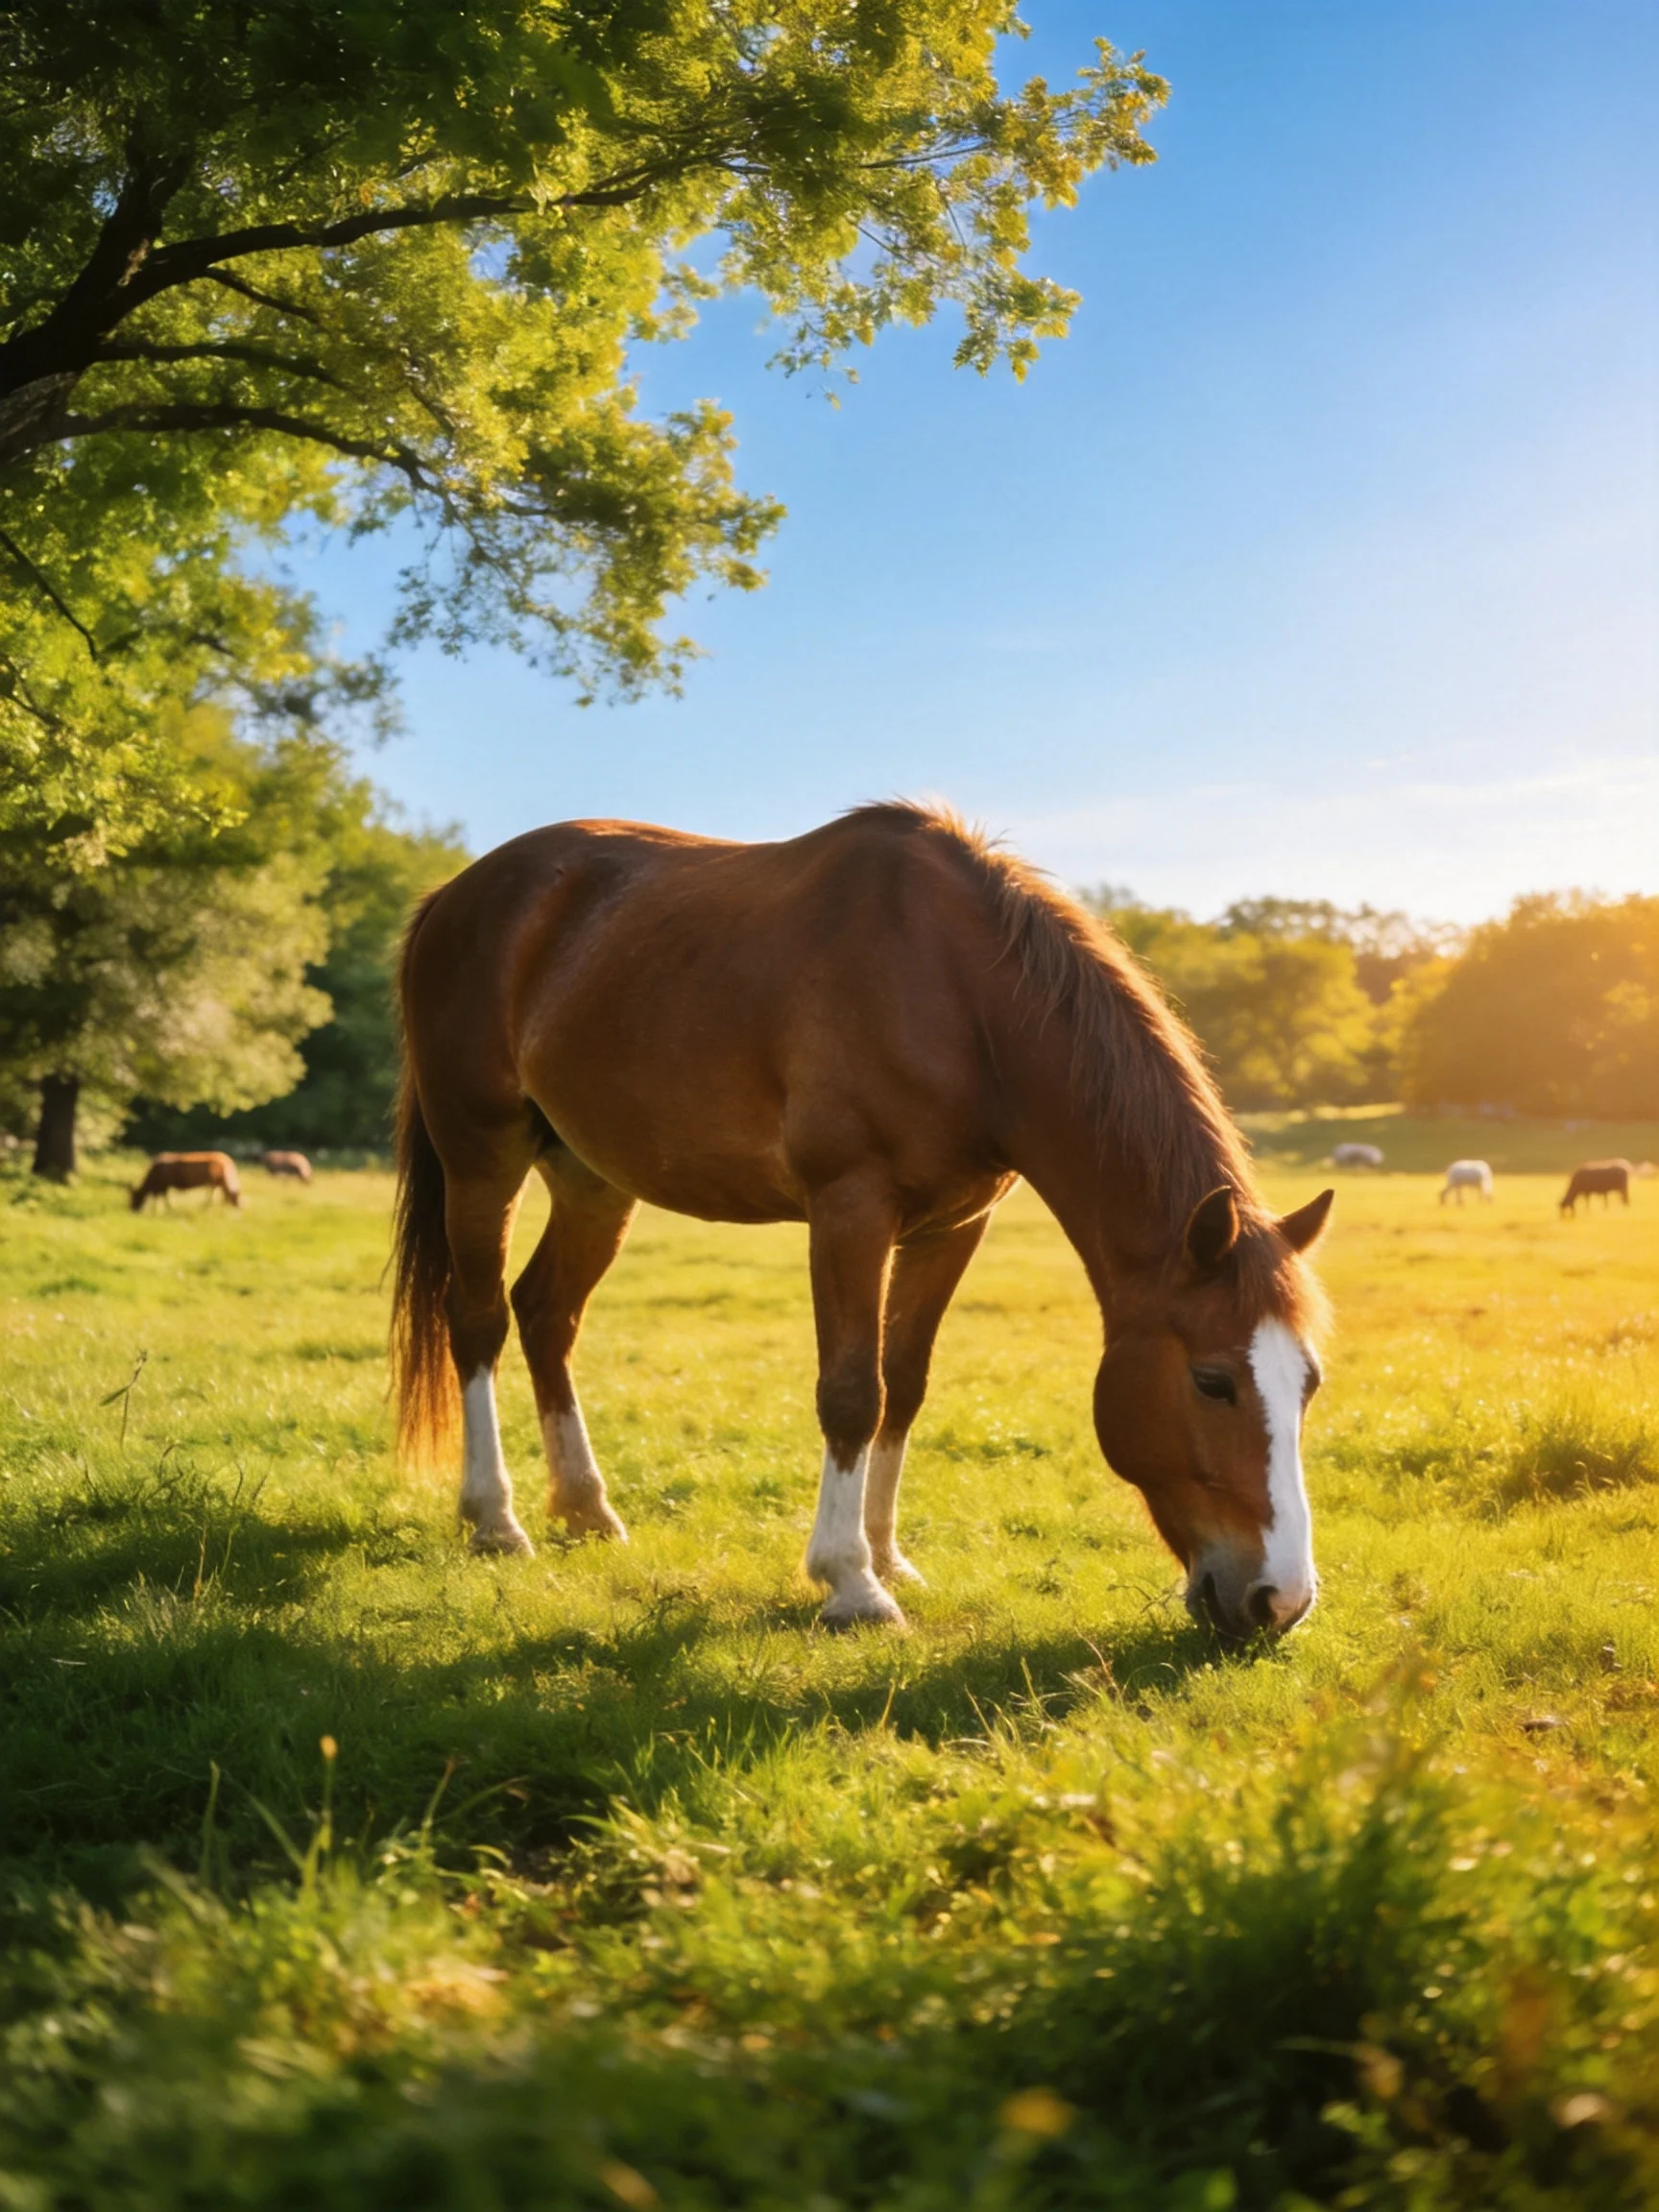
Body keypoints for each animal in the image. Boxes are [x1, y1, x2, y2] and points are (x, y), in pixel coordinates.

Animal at [392, 805, 1334, 1644]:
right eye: (1213, 1381)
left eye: (1309, 1384)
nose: (1280, 1602)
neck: (958, 996)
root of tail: (455, 895)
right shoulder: (850, 1205)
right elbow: (853, 1390)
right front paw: (851, 1584)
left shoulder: (953, 1226)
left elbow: (904, 1386)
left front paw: (889, 1557)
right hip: (482, 1155)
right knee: (477, 1319)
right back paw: (495, 1519)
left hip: (592, 1179)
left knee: (547, 1313)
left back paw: (586, 1508)